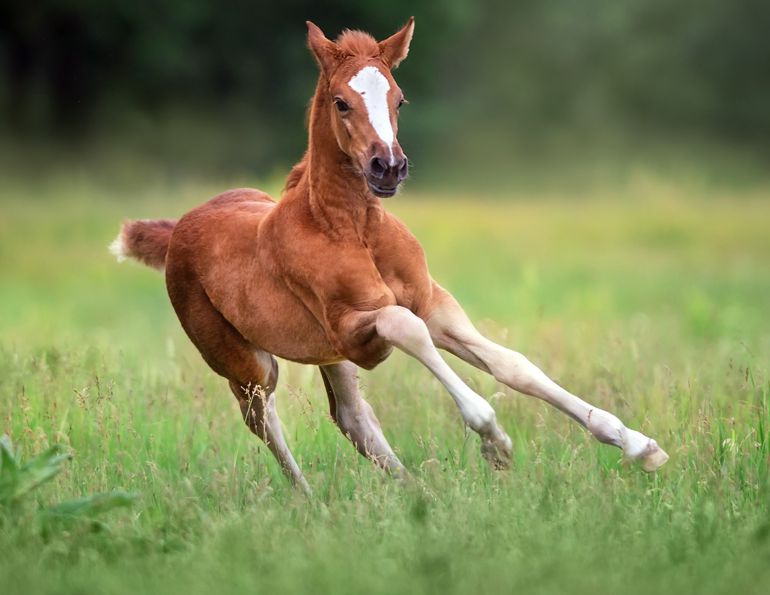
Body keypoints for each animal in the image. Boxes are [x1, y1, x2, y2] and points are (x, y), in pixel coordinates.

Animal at [110, 18, 668, 494]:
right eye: (341, 102)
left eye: (400, 99)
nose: (389, 167)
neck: (353, 227)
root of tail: (179, 228)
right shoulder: (355, 329)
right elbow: (407, 328)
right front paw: (496, 442)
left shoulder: (431, 302)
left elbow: (514, 366)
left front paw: (638, 444)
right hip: (247, 363)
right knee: (263, 419)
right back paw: (310, 502)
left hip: (326, 356)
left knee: (352, 418)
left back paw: (413, 491)